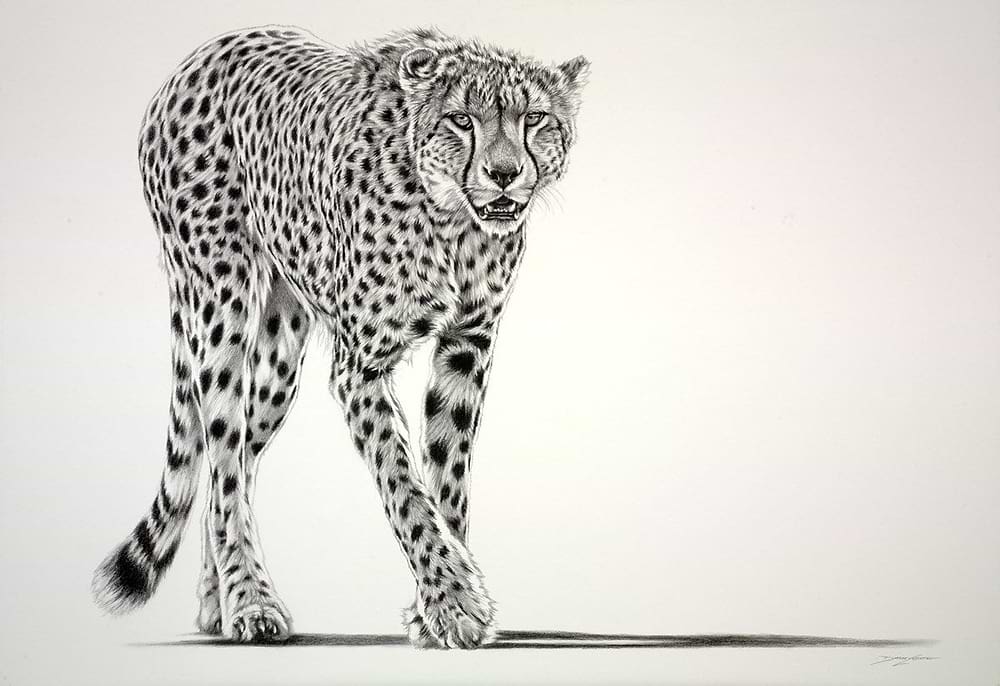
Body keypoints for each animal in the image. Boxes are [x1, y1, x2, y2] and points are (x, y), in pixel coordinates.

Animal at [91, 25, 588, 649]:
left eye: (536, 118)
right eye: (461, 120)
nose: (504, 174)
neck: (452, 224)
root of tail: (206, 51)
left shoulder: (467, 343)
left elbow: (447, 477)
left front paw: (433, 610)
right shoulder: (361, 370)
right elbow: (404, 485)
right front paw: (454, 603)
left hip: (280, 355)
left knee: (237, 460)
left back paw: (215, 602)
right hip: (219, 304)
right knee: (224, 457)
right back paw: (250, 601)